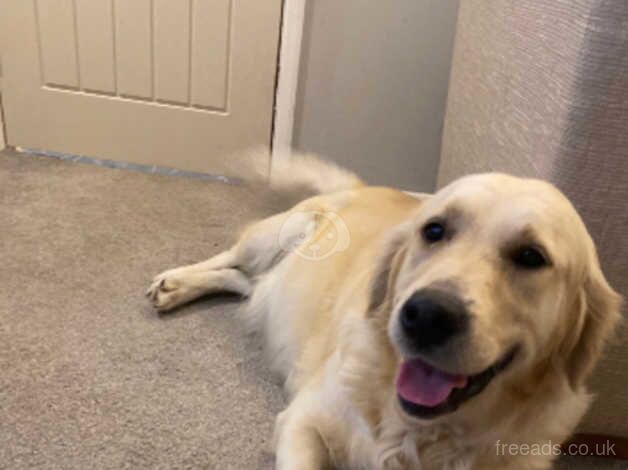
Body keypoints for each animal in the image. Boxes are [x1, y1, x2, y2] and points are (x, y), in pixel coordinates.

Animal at [146, 155, 620, 470]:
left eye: (531, 256)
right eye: (434, 230)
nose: (426, 316)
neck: (420, 432)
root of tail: (364, 186)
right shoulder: (304, 422)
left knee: (245, 282)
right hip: (280, 232)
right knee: (232, 256)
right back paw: (173, 283)